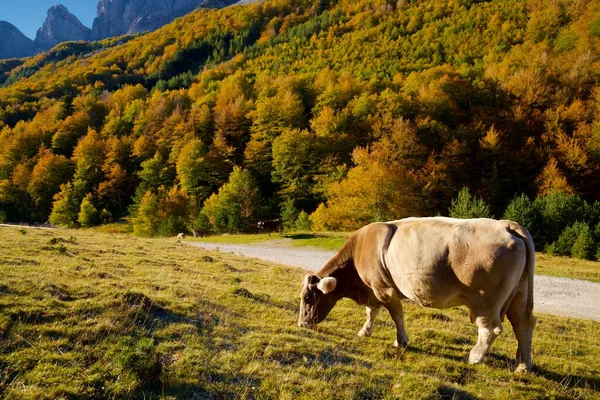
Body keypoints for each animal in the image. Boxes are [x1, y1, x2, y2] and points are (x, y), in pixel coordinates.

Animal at [298, 219, 536, 372]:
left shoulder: (384, 289)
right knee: (523, 325)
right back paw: (522, 365)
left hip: (485, 300)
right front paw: (364, 331)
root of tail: (506, 225)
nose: (301, 324)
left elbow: (396, 315)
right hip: (520, 295)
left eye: (308, 298)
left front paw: (400, 341)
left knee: (490, 328)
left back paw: (474, 357)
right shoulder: (373, 290)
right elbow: (371, 312)